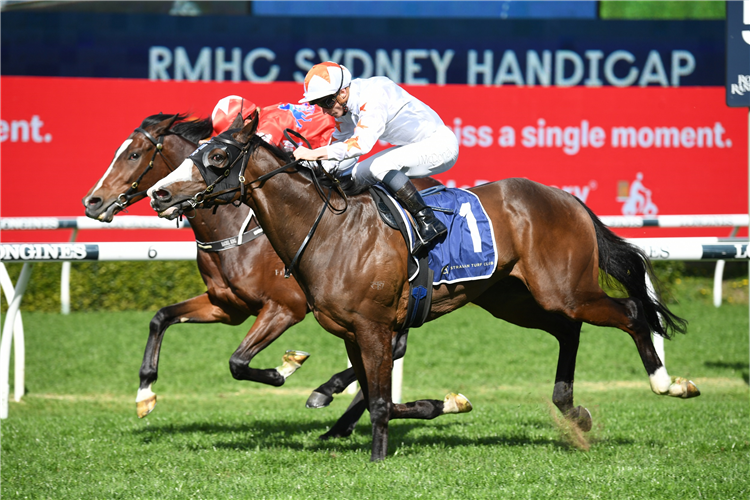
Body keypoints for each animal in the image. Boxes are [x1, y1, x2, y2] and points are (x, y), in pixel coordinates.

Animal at [150, 114, 704, 460]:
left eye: (218, 156)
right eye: (197, 151)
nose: (159, 193)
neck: (326, 229)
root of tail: (564, 196)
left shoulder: (372, 325)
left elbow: (377, 398)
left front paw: (376, 456)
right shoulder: (351, 330)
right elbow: (376, 394)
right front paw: (445, 404)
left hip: (563, 289)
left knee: (630, 310)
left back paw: (668, 383)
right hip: (514, 299)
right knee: (569, 331)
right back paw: (573, 410)